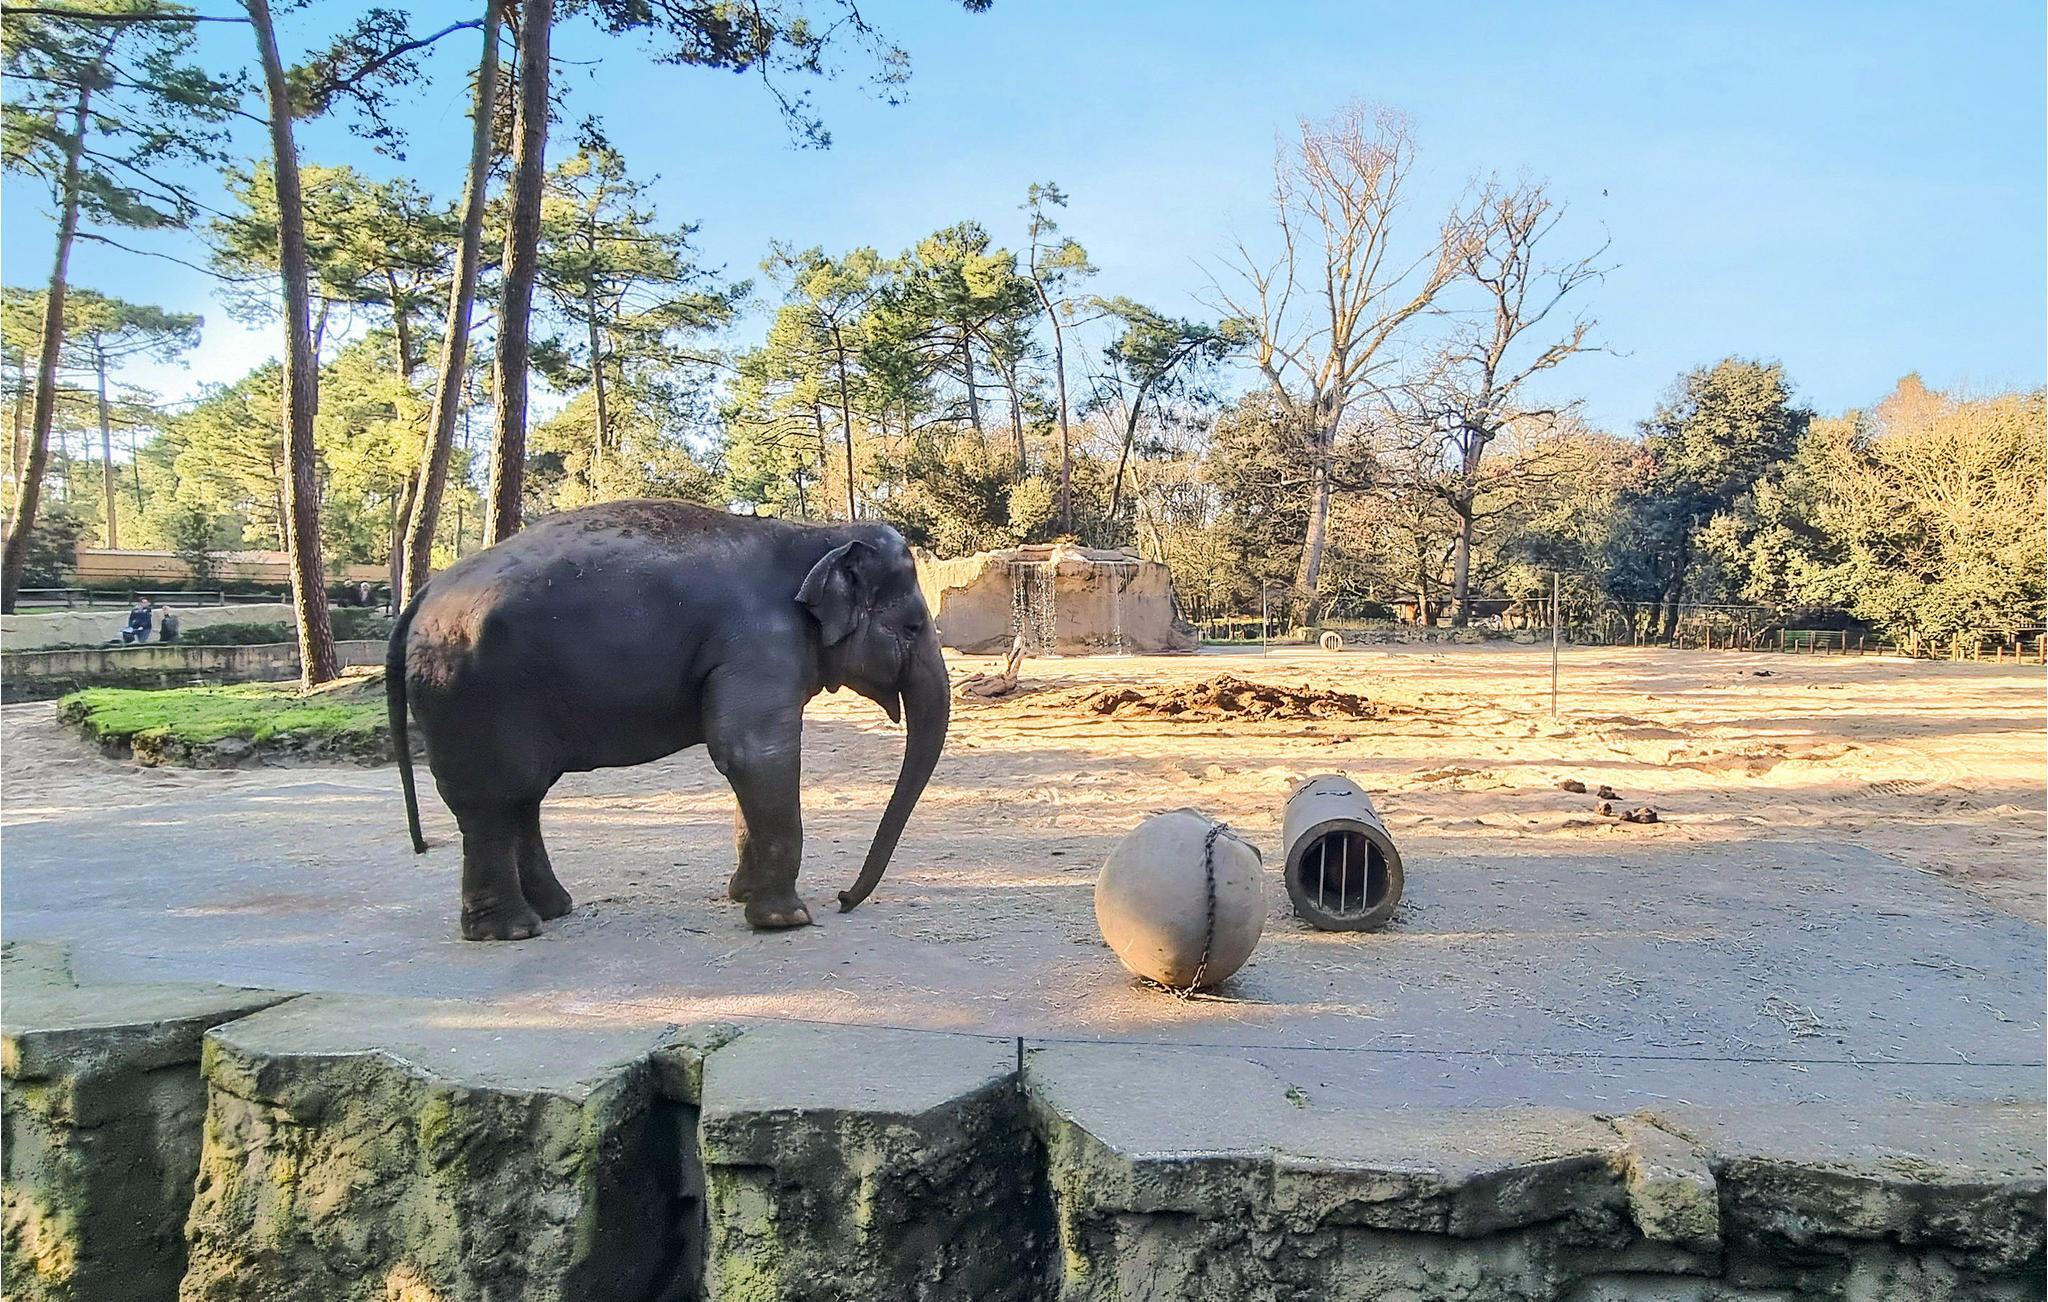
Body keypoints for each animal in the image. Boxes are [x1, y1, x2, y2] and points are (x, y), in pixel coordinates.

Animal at [385, 499, 951, 941]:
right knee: (492, 802)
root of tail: (419, 599)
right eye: (912, 626)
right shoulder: (759, 644)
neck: (815, 534)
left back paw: (554, 910)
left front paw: (741, 894)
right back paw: (512, 930)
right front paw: (786, 920)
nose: (842, 898)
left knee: (522, 796)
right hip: (469, 695)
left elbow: (749, 760)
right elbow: (753, 752)